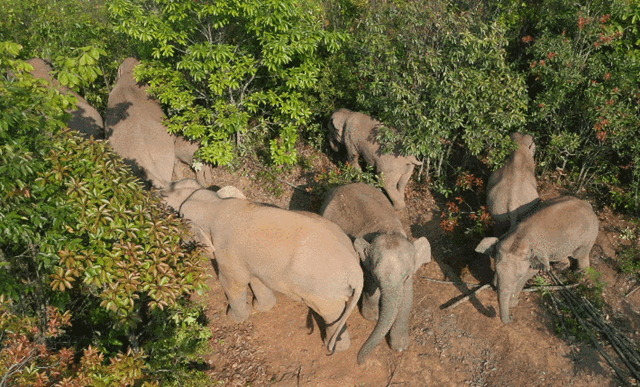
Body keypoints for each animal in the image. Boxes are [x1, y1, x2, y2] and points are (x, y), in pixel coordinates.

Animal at [162, 179, 362, 354]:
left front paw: (234, 318)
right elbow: (255, 278)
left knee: (330, 315)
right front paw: (262, 308)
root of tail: (356, 271)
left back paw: (332, 346)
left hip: (324, 292)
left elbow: (233, 282)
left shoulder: (227, 252)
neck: (217, 206)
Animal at [322, 183, 432, 366]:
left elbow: (407, 299)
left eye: (406, 276)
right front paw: (372, 317)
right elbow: (370, 287)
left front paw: (400, 347)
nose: (359, 361)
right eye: (377, 277)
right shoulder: (366, 267)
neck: (388, 230)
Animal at [476, 196, 600, 326]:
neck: (520, 238)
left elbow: (530, 273)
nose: (511, 316)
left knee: (580, 255)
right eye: (496, 268)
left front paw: (513, 303)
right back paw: (561, 266)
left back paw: (580, 274)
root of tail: (587, 204)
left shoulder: (539, 254)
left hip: (589, 235)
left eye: (519, 276)